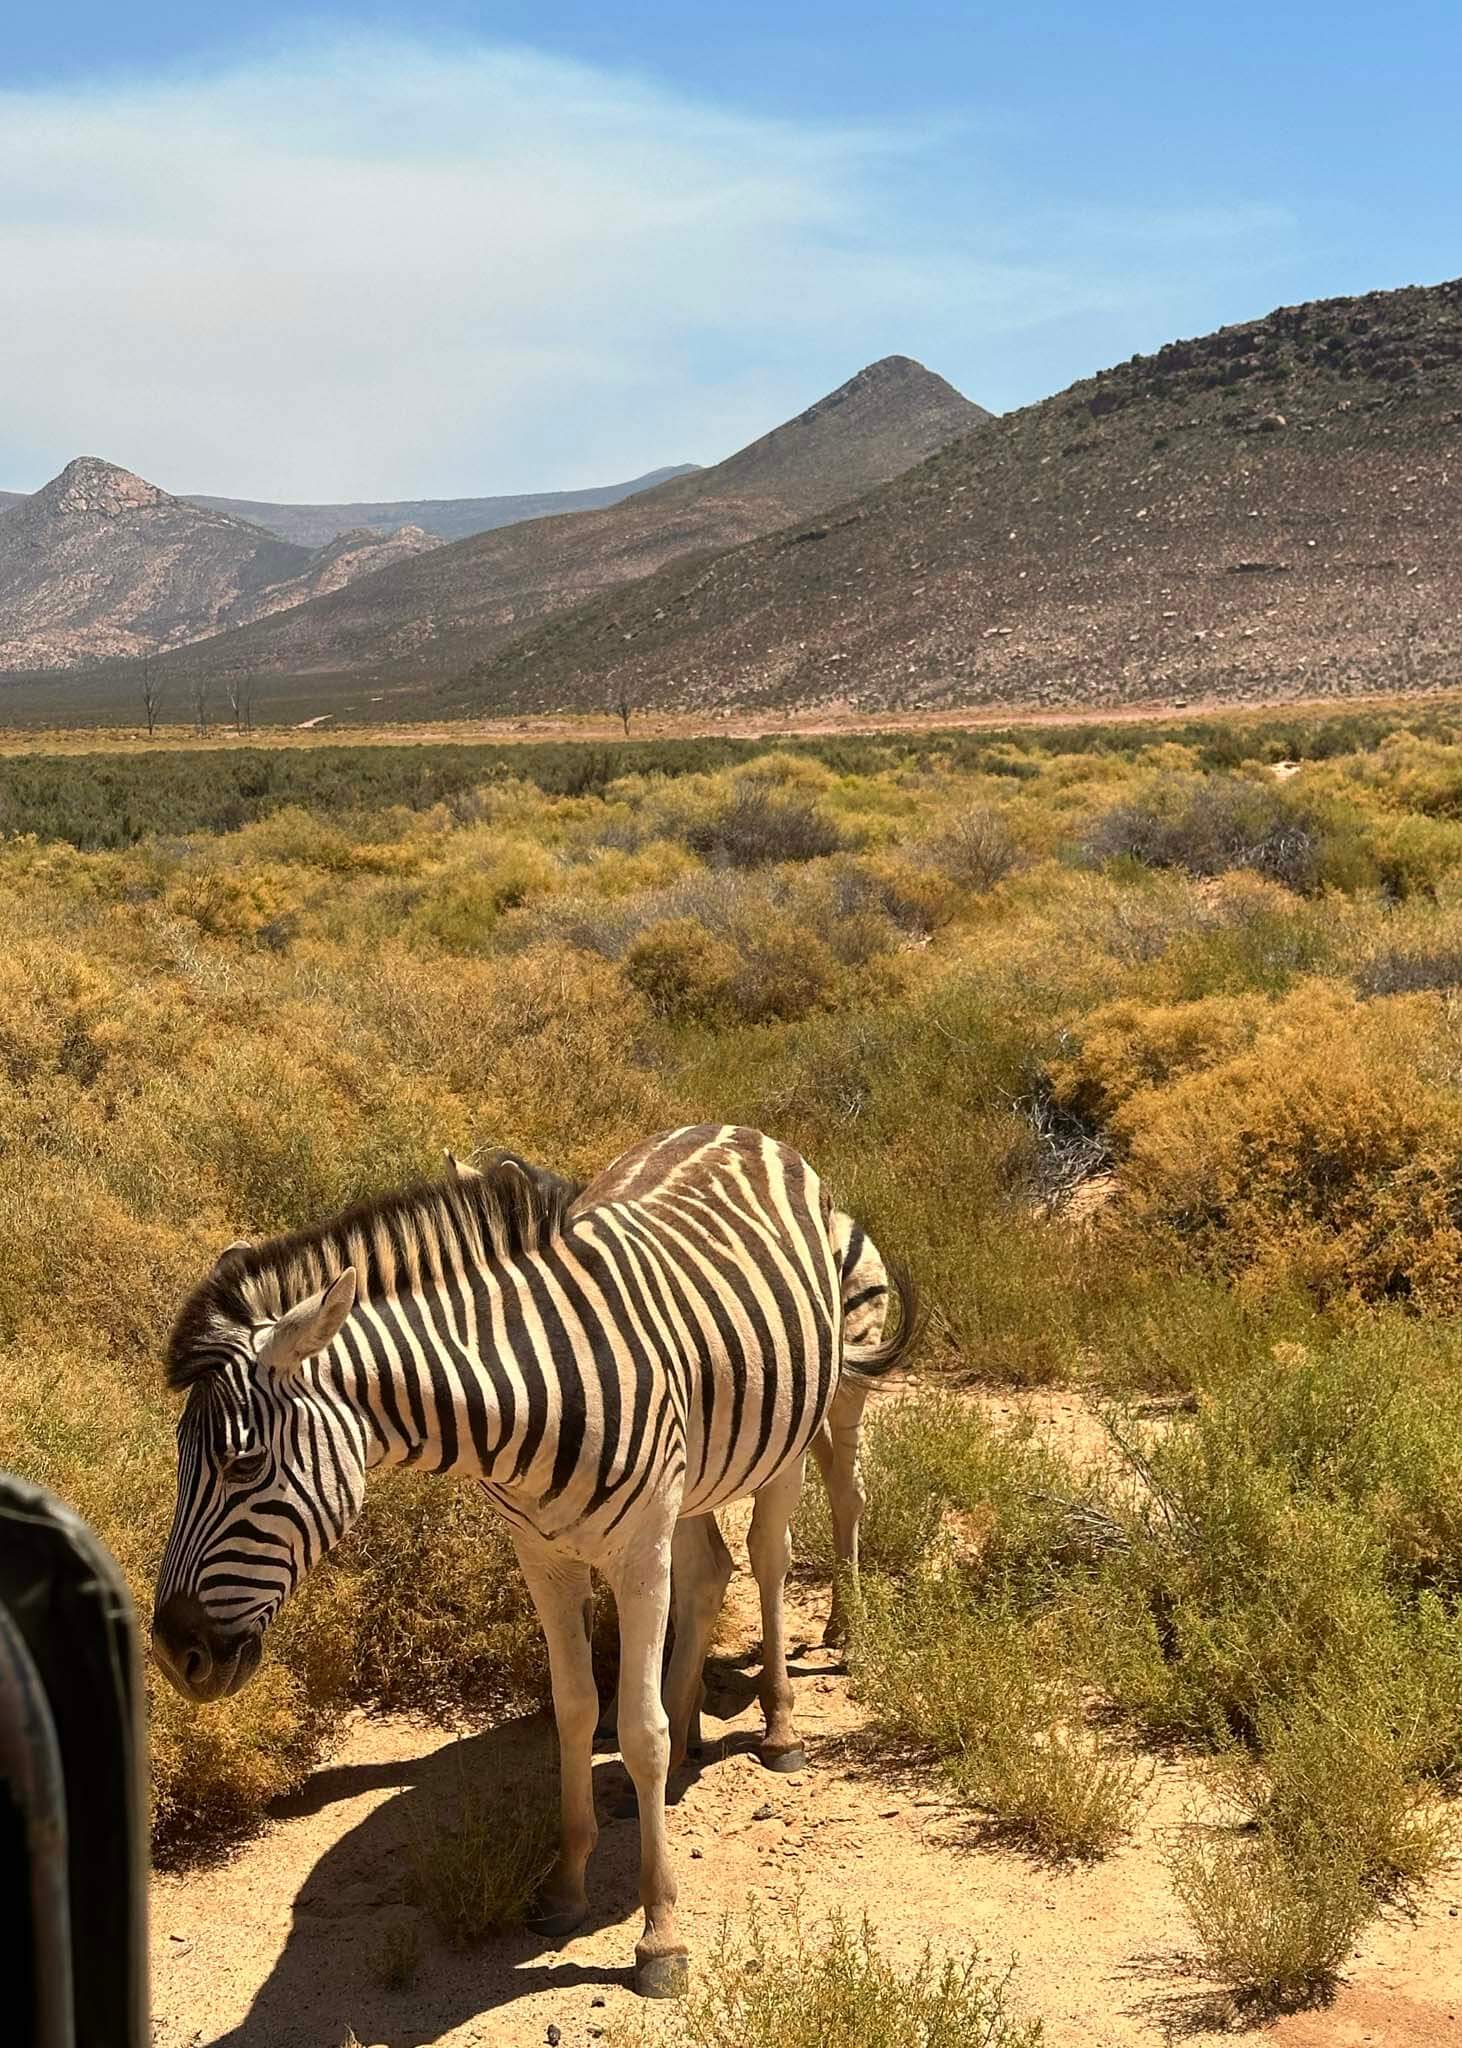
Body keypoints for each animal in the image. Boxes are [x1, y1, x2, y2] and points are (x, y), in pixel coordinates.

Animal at [153, 1122, 917, 1998]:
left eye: (243, 1464)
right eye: (180, 1455)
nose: (174, 1653)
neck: (532, 1398)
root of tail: (738, 1130)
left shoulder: (637, 1548)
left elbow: (639, 1728)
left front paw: (660, 1937)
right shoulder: (542, 1557)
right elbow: (579, 1710)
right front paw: (566, 1886)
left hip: (790, 1429)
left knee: (774, 1552)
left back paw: (788, 1715)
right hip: (698, 1468)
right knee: (711, 1571)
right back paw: (688, 1730)